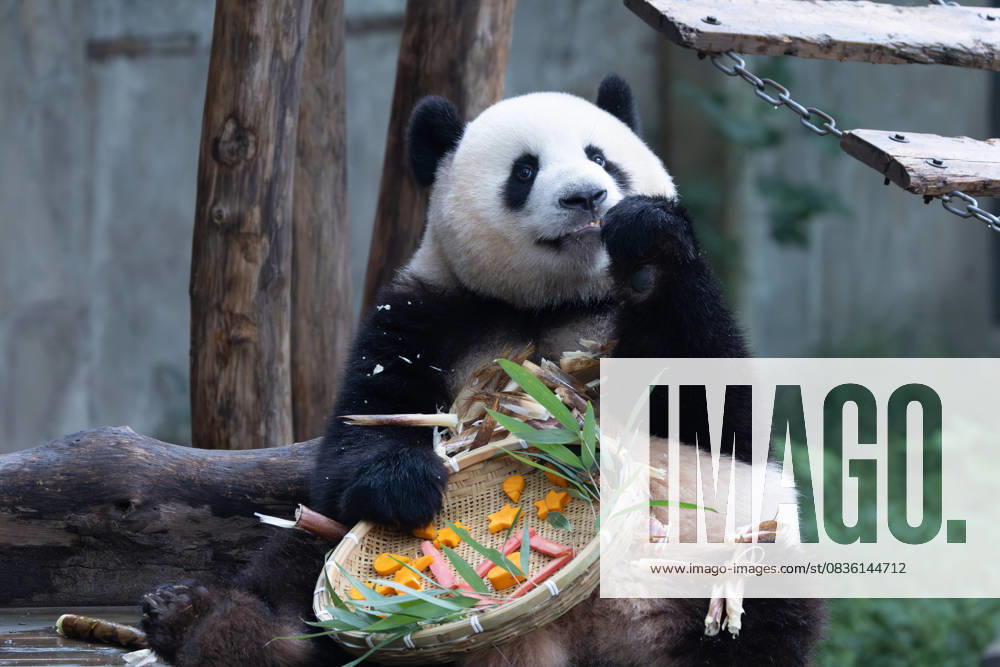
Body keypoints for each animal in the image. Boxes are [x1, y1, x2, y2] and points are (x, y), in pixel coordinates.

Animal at [140, 75, 823, 666]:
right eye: (525, 170)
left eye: (602, 158)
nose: (587, 197)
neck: (557, 302)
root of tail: (570, 637)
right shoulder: (427, 312)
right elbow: (360, 435)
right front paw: (409, 483)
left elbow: (719, 410)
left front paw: (647, 235)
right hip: (326, 555)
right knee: (300, 564)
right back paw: (209, 623)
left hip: (730, 556)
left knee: (760, 621)